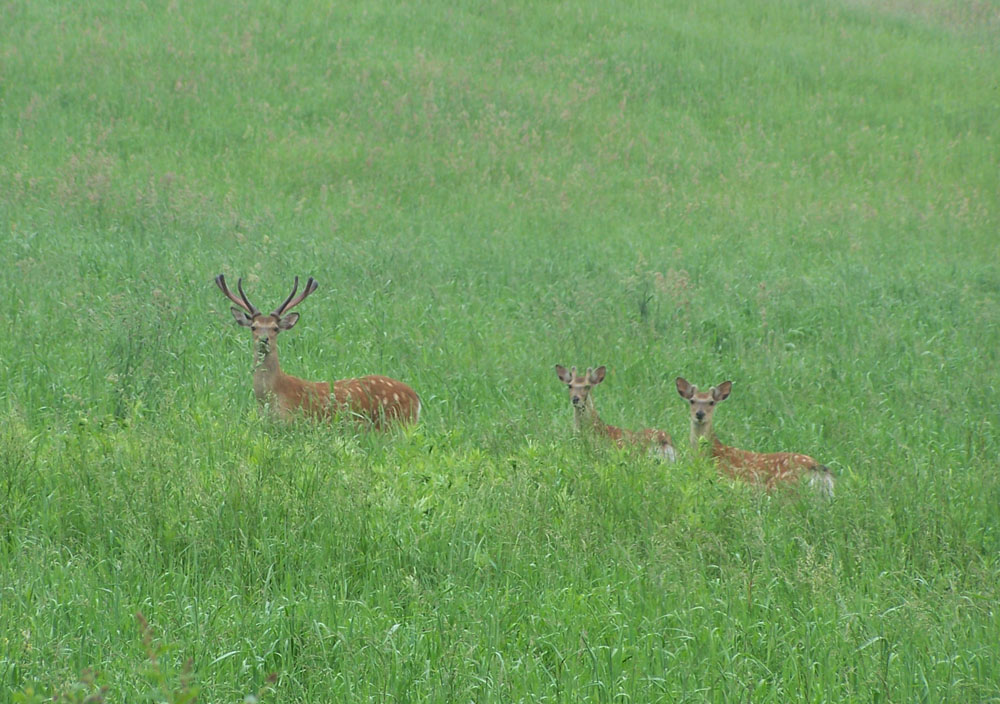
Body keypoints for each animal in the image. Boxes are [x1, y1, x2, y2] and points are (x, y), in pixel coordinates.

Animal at [217, 276, 420, 428]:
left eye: (275, 328)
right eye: (253, 327)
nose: (263, 340)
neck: (273, 395)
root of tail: (416, 397)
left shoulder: (296, 424)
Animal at [672, 376, 836, 498]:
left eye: (711, 402)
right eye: (692, 400)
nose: (699, 414)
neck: (710, 454)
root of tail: (817, 468)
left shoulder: (721, 479)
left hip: (782, 489)